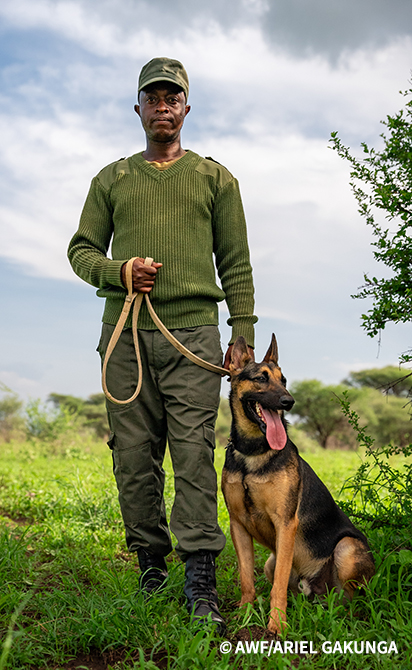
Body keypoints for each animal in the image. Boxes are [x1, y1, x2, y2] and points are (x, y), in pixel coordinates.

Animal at [222, 336, 376, 636]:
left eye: (284, 380)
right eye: (261, 378)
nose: (289, 401)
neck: (252, 453)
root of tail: (318, 589)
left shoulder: (285, 525)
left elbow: (278, 586)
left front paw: (277, 624)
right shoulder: (238, 525)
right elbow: (246, 578)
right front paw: (245, 612)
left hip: (346, 549)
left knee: (352, 600)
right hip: (271, 562)